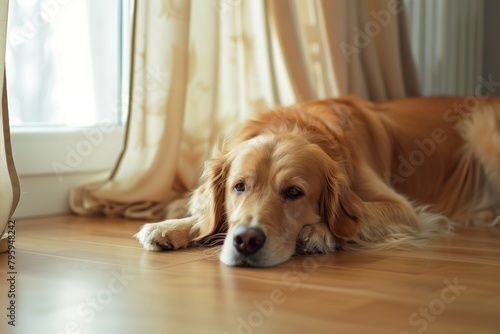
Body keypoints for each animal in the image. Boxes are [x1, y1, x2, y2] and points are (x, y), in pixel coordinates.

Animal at [135, 96, 498, 266]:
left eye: (294, 192)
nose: (246, 241)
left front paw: (319, 232)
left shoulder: (404, 209)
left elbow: (360, 215)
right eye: (239, 187)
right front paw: (171, 227)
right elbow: (205, 214)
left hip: (482, 130)